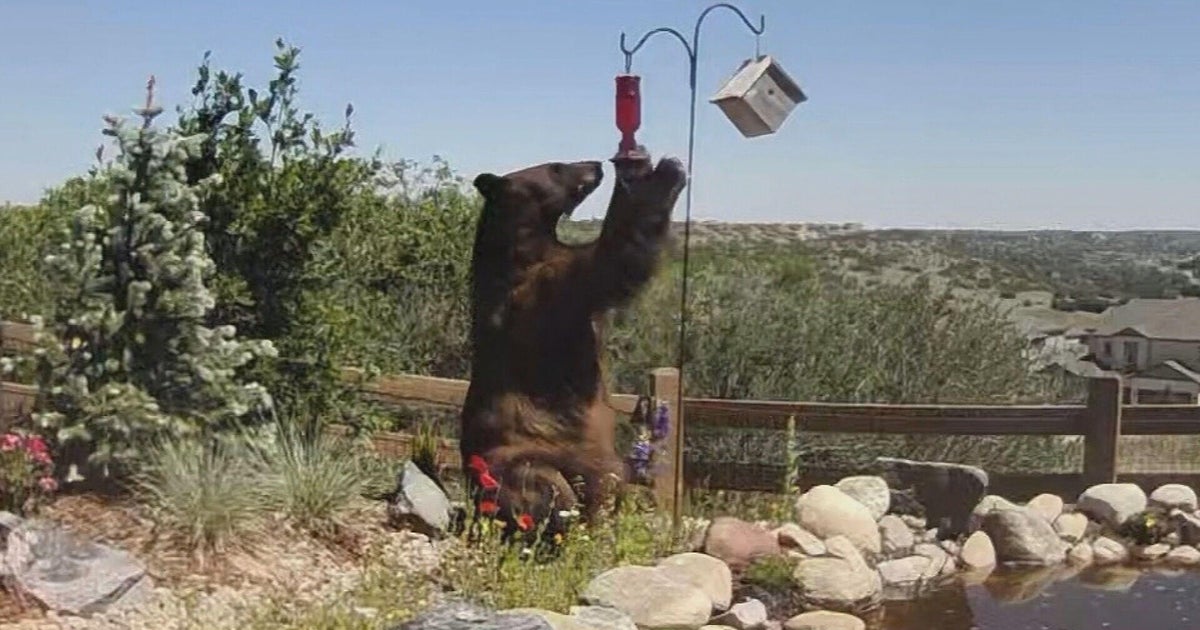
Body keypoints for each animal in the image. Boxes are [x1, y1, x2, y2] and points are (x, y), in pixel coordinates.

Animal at [460, 153, 686, 541]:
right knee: (544, 488)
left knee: (626, 486)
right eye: (556, 166)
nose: (595, 165)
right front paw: (655, 176)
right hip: (518, 458)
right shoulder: (541, 292)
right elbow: (610, 264)